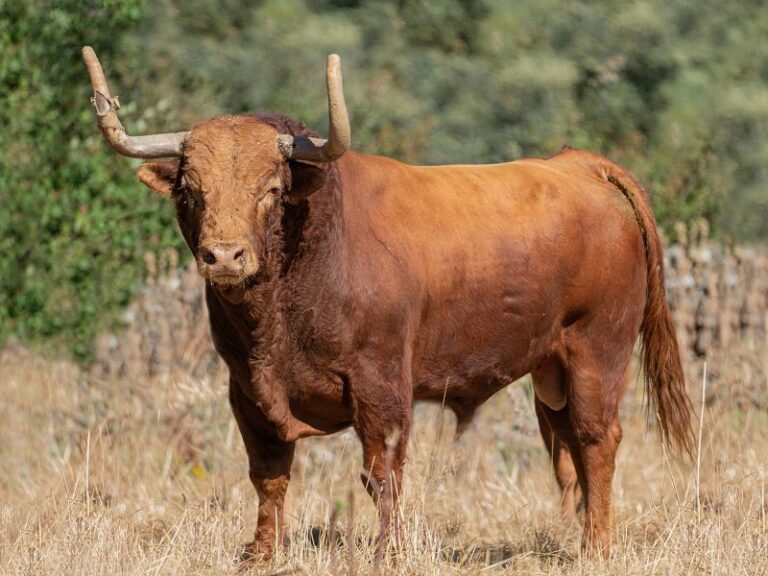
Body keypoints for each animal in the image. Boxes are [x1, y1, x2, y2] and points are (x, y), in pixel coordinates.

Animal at [81, 47, 692, 560]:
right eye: (190, 190)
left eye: (271, 190)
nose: (225, 256)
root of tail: (580, 163)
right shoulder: (247, 391)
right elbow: (268, 475)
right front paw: (261, 555)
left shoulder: (381, 385)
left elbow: (383, 474)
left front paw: (388, 553)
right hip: (552, 368)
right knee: (567, 443)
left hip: (599, 349)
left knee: (596, 440)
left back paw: (597, 548)